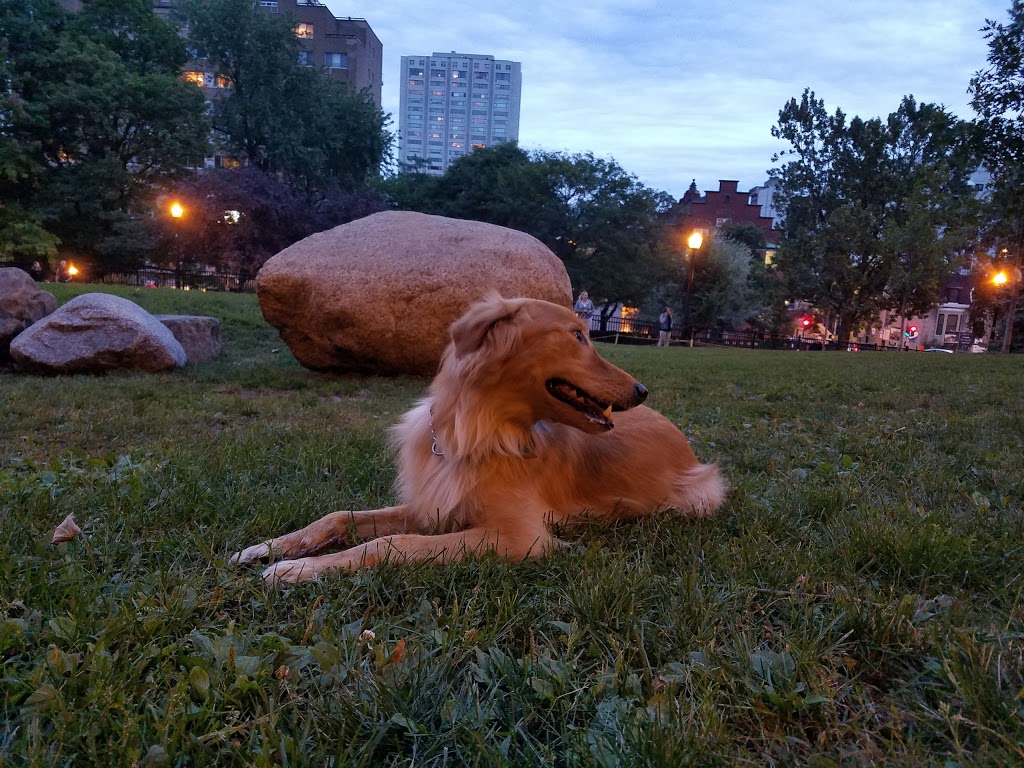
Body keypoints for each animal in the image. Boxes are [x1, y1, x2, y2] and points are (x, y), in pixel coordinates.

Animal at [232, 294, 729, 581]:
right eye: (577, 335)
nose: (642, 390)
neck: (474, 436)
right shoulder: (433, 505)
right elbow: (338, 517)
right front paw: (269, 547)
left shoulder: (520, 537)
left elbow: (393, 543)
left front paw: (298, 568)